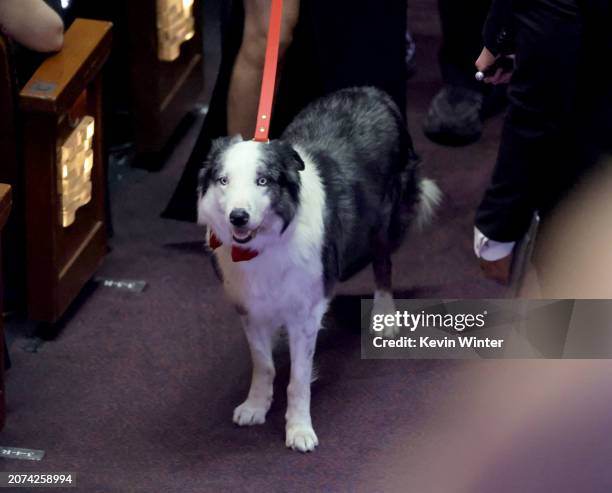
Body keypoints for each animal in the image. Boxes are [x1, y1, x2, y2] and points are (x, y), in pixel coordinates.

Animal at [196, 86, 440, 452]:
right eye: (223, 180)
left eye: (263, 180)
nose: (238, 217)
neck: (266, 244)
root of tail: (372, 91)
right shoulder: (250, 308)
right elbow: (263, 365)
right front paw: (256, 406)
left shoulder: (305, 313)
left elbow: (298, 380)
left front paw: (299, 430)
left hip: (383, 220)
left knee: (383, 265)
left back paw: (384, 315)